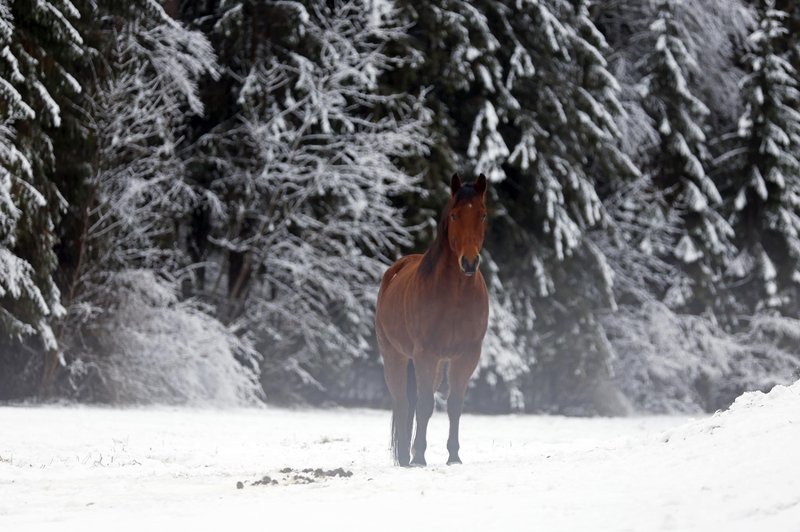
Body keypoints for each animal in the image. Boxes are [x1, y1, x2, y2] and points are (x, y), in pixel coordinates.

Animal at [376, 174, 488, 466]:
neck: (455, 298)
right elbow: (424, 405)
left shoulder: (465, 356)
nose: (469, 262)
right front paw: (419, 459)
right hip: (395, 356)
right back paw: (406, 457)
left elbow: (454, 405)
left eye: (482, 215)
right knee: (403, 403)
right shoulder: (425, 354)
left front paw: (454, 457)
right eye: (454, 215)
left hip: (434, 365)